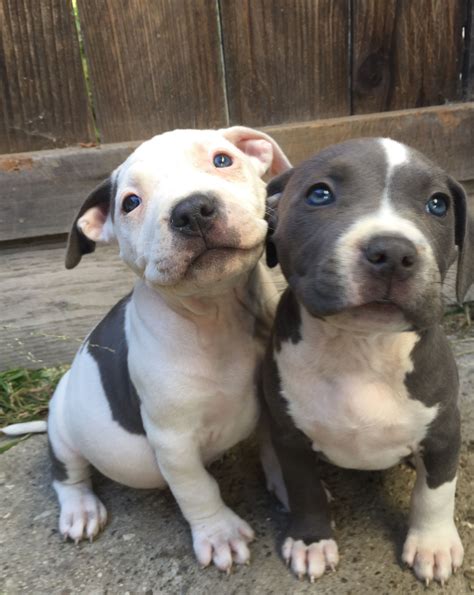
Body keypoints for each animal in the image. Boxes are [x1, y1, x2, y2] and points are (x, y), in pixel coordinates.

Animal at [40, 127, 288, 572]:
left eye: (222, 160)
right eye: (130, 203)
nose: (192, 210)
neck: (218, 315)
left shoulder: (269, 404)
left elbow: (274, 451)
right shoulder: (173, 442)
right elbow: (197, 488)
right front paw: (219, 534)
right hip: (63, 431)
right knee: (67, 474)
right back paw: (80, 509)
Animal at [262, 139, 472, 588]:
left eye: (438, 204)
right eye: (319, 194)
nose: (392, 252)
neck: (361, 347)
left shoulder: (444, 430)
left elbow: (435, 493)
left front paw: (432, 545)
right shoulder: (290, 435)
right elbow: (303, 487)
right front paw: (311, 541)